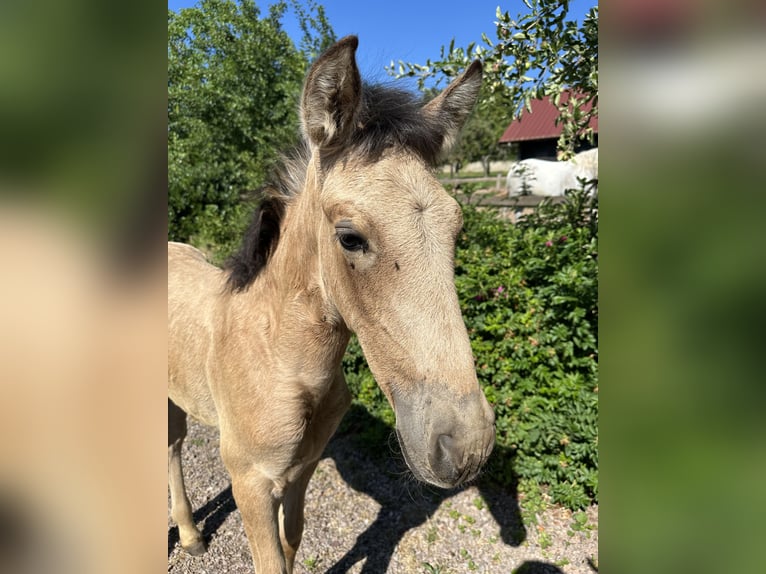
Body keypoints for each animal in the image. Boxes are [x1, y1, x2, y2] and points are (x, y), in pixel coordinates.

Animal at [168, 36, 496, 573]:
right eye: (350, 238)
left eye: (457, 228)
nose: (466, 445)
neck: (277, 358)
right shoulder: (249, 481)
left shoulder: (303, 469)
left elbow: (294, 539)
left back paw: (192, 534)